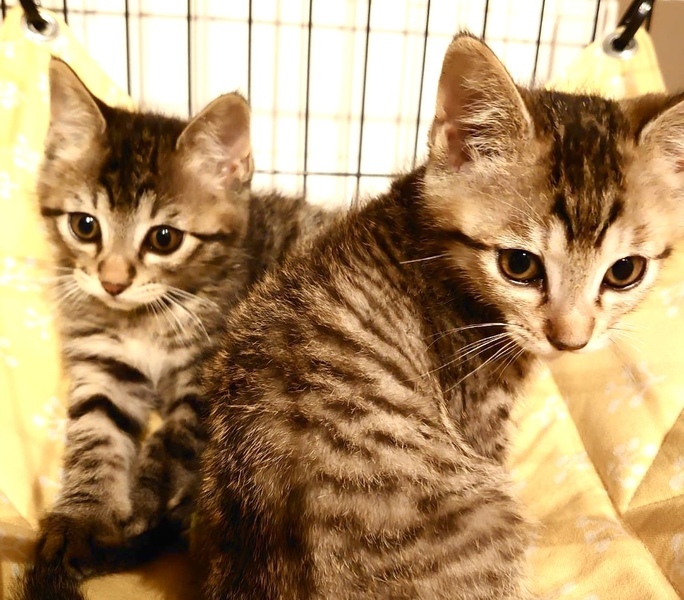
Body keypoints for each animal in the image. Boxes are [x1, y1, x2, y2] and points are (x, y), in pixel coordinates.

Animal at [13, 58, 338, 598]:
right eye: (84, 225)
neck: (145, 319)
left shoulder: (212, 369)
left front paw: (145, 498)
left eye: (164, 238)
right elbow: (95, 432)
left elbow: (172, 439)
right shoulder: (103, 365)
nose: (113, 282)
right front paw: (81, 518)